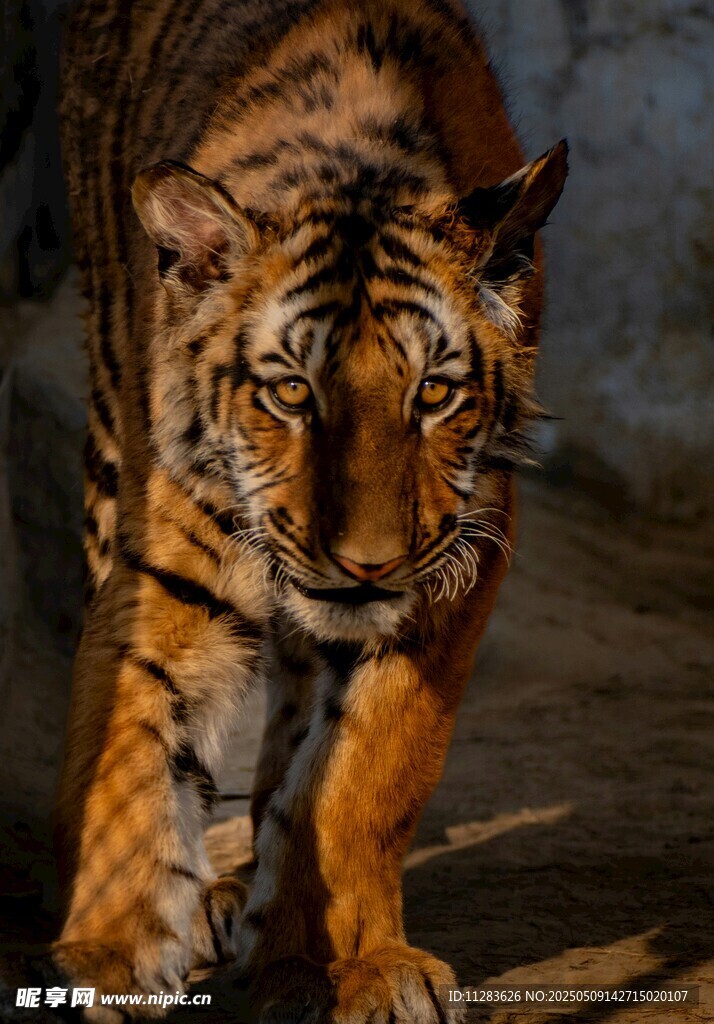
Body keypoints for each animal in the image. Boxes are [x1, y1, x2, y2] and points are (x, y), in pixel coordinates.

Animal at [53, 0, 567, 1020]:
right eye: (291, 393)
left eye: (434, 394)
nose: (365, 563)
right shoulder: (164, 575)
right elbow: (125, 752)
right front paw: (107, 959)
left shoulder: (456, 571)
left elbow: (360, 777)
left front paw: (343, 964)